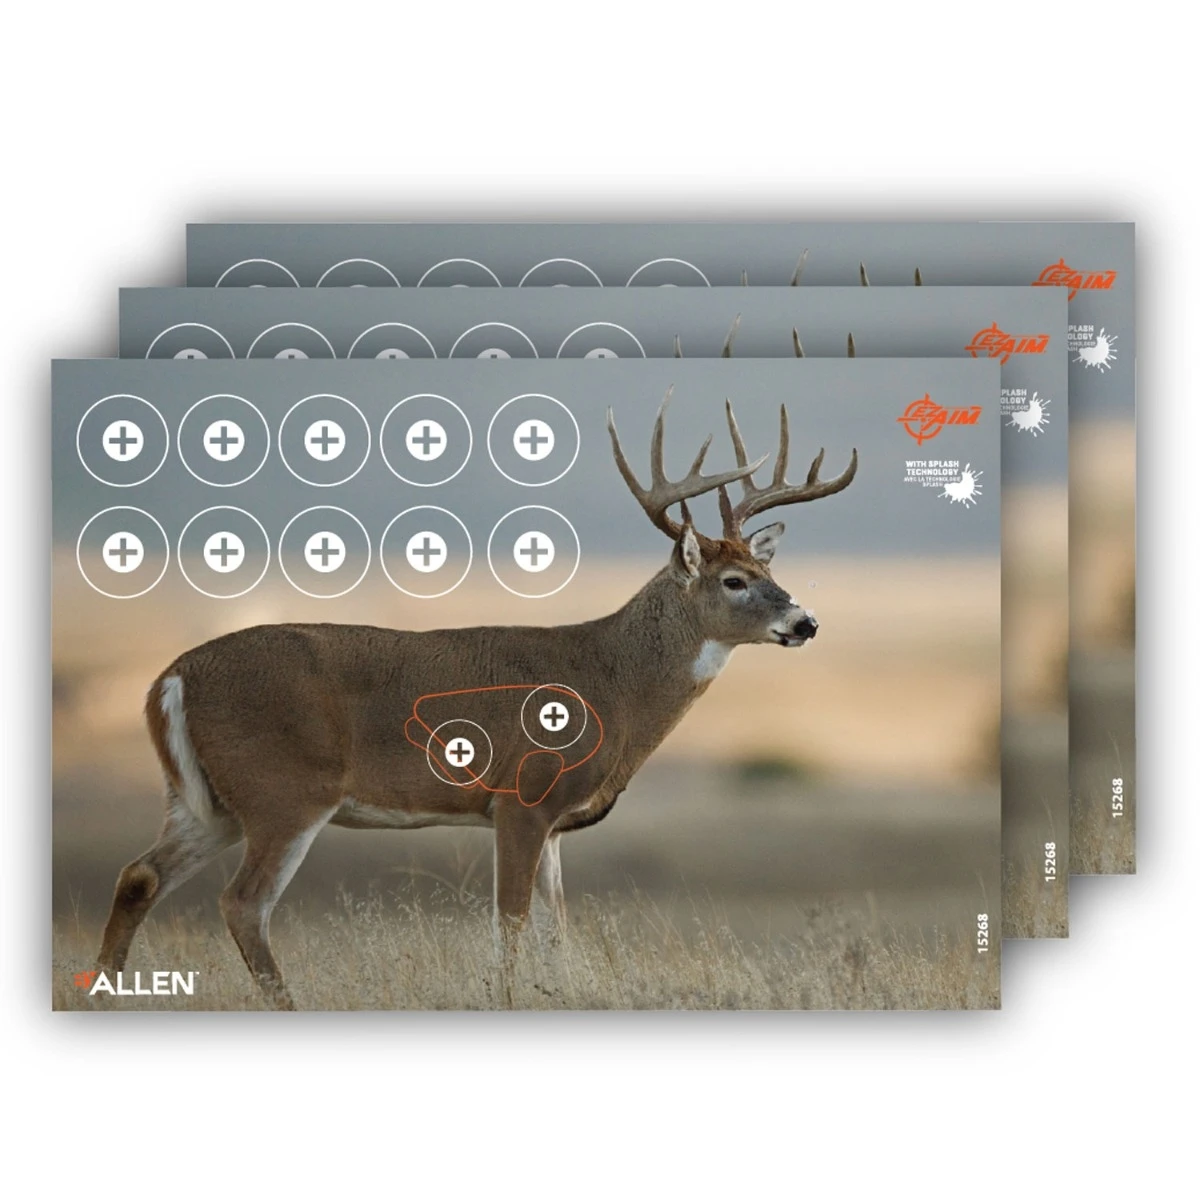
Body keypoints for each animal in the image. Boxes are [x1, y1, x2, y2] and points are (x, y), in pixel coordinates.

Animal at [96, 389, 858, 1008]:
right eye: (734, 581)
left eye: (769, 569)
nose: (806, 623)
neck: (610, 683)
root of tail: (171, 677)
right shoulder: (520, 797)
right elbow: (512, 920)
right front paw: (507, 1000)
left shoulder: (554, 821)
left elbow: (555, 926)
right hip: (285, 790)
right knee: (242, 903)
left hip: (210, 801)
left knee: (139, 875)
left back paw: (105, 993)